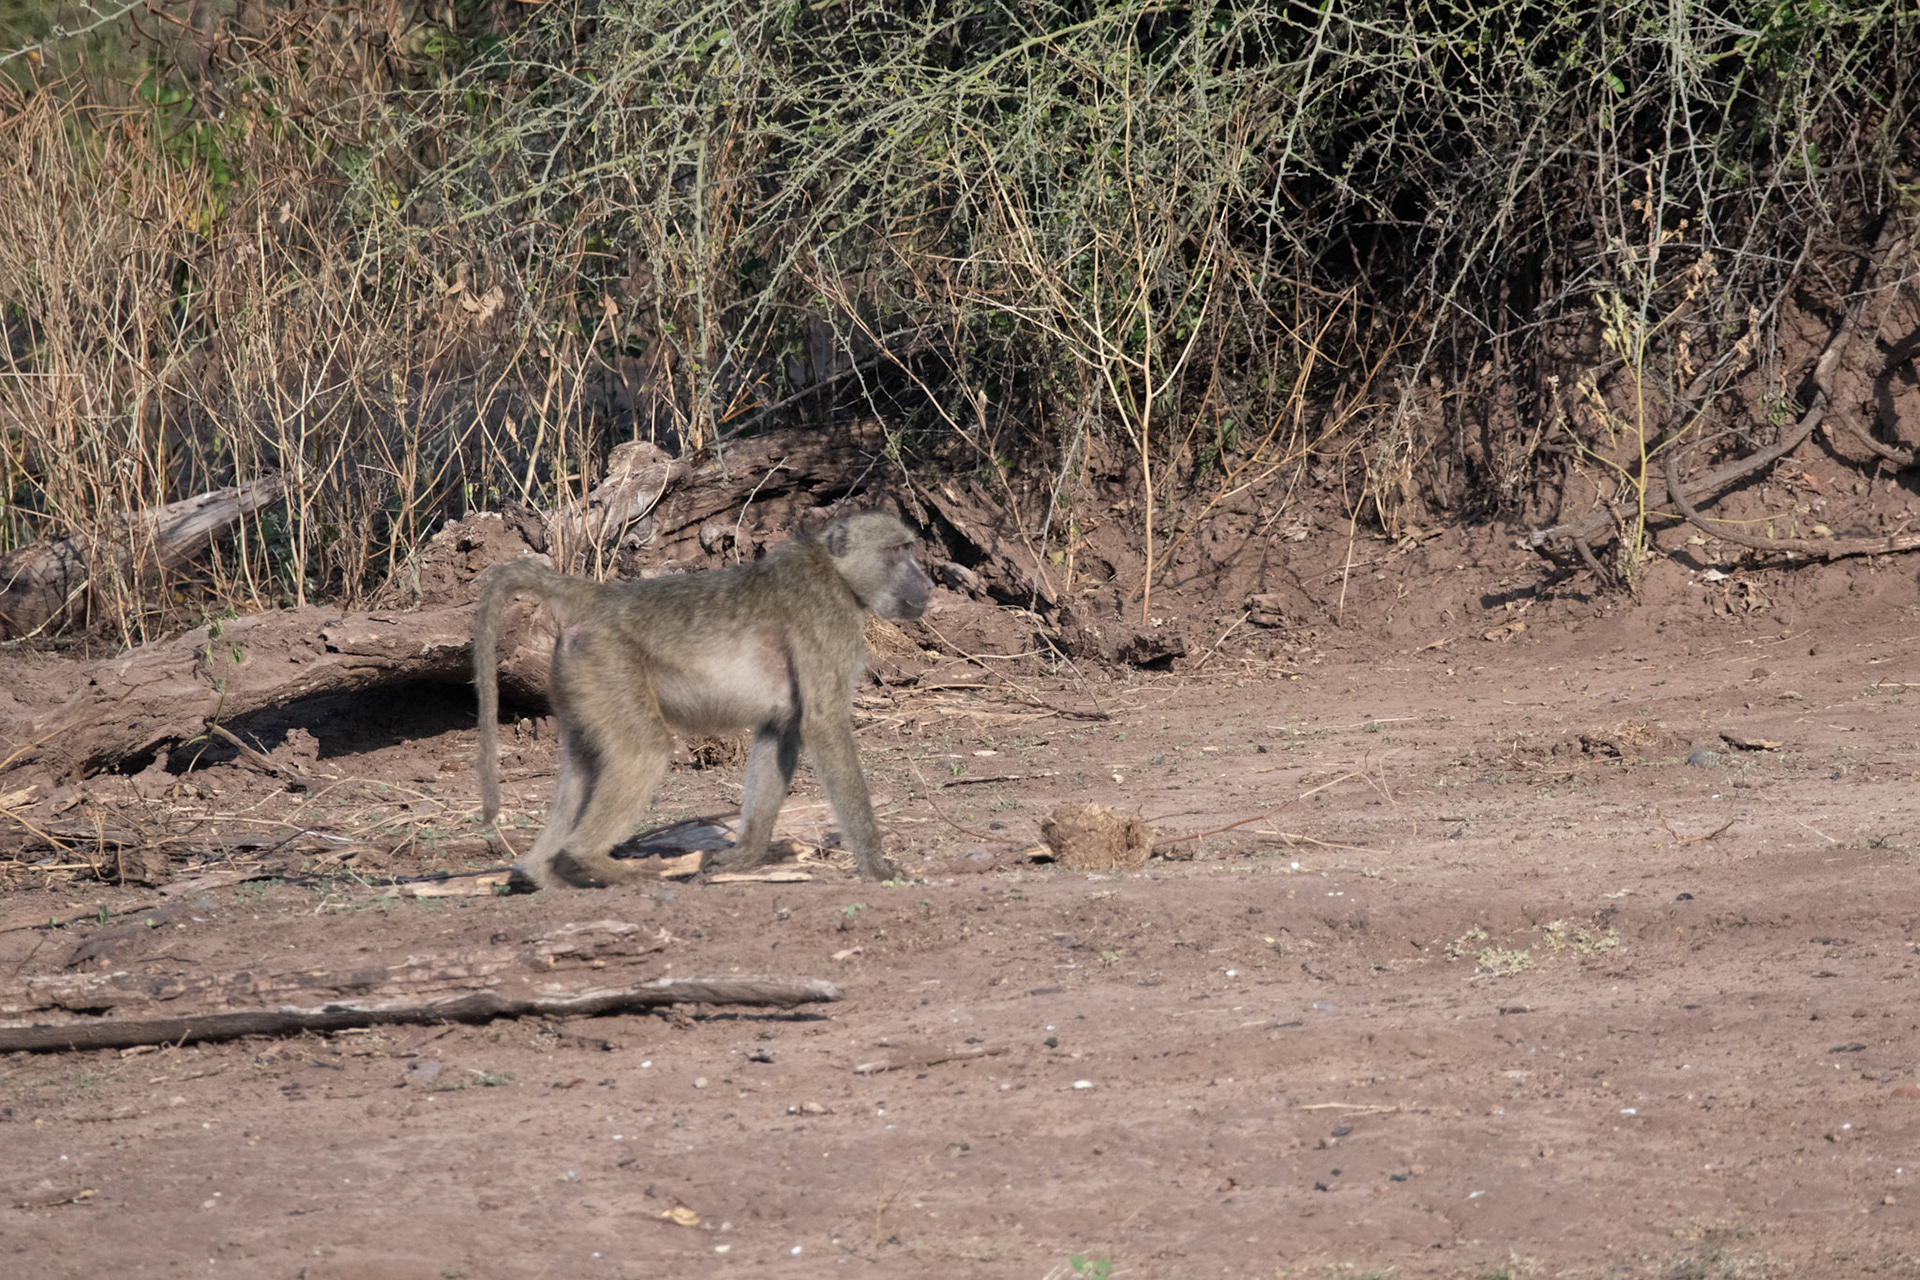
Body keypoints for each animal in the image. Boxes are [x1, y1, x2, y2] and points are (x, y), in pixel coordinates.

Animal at [472, 511, 933, 889]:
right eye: (899, 550)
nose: (929, 584)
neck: (834, 570)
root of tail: (605, 597)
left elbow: (780, 732)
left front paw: (745, 856)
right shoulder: (827, 618)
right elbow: (823, 722)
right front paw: (879, 869)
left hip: (579, 673)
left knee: (582, 762)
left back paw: (543, 874)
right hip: (608, 660)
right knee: (645, 749)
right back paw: (604, 865)